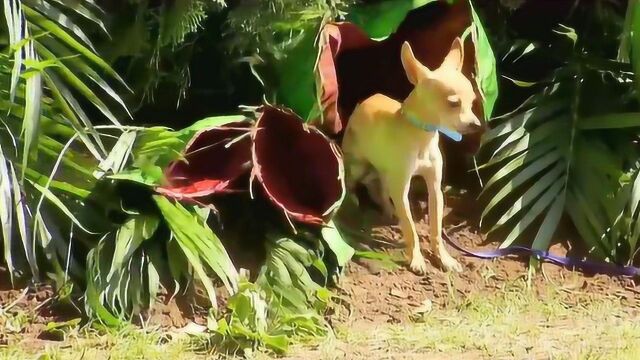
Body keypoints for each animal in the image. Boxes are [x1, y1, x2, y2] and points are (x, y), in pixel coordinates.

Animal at [340, 38, 480, 274]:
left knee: (379, 189)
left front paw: (443, 258)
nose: (476, 124)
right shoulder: (402, 189)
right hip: (358, 165)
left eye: (472, 102)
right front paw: (416, 259)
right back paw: (352, 205)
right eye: (453, 103)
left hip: (386, 172)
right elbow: (411, 228)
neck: (422, 137)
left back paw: (388, 211)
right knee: (353, 184)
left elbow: (435, 228)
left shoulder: (435, 189)